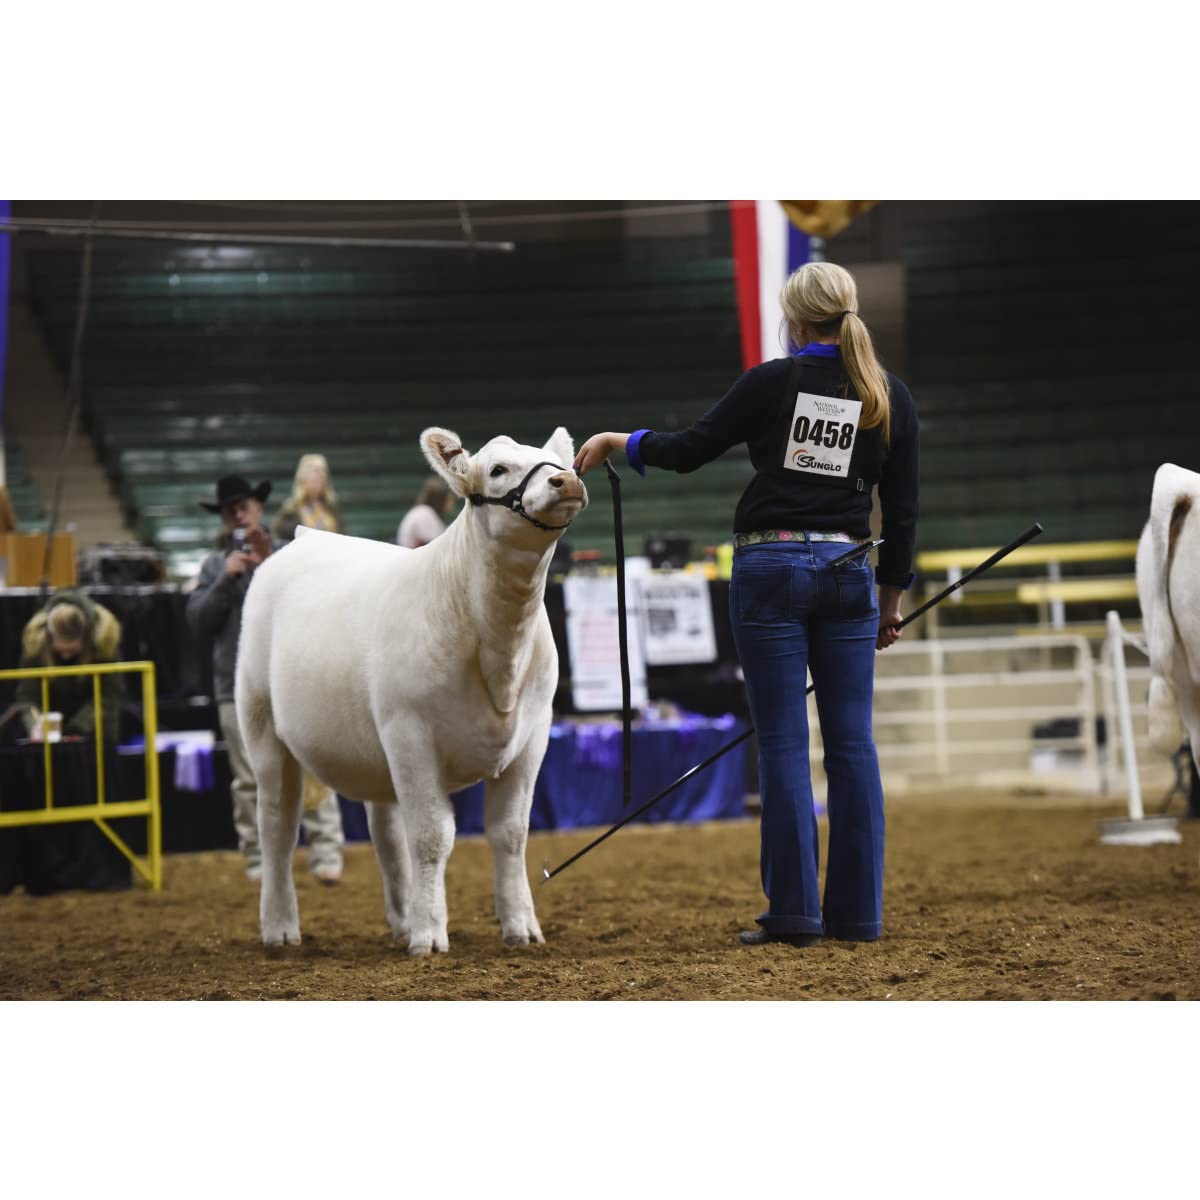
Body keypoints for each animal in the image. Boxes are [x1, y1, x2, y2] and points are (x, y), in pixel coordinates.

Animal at [234, 427, 587, 955]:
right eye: (498, 469)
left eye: (557, 463)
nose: (566, 481)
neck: (499, 651)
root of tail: (305, 537)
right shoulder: (411, 733)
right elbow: (431, 837)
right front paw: (429, 934)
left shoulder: (533, 736)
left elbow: (510, 833)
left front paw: (520, 927)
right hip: (262, 725)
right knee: (277, 824)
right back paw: (279, 927)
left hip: (373, 750)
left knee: (384, 832)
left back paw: (401, 918)